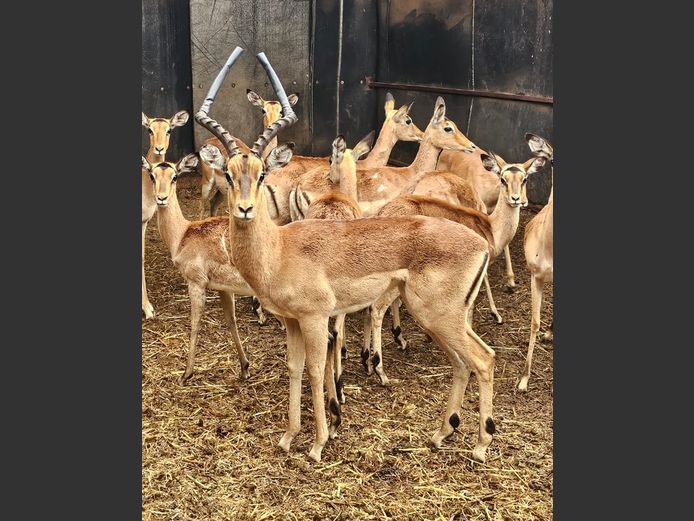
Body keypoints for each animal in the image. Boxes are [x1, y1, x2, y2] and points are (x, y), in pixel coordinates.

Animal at [141, 144, 294, 384]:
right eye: (152, 175)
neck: (183, 234)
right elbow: (231, 321)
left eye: (174, 176)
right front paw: (245, 367)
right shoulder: (223, 289)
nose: (161, 198)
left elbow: (194, 324)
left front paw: (186, 374)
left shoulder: (195, 284)